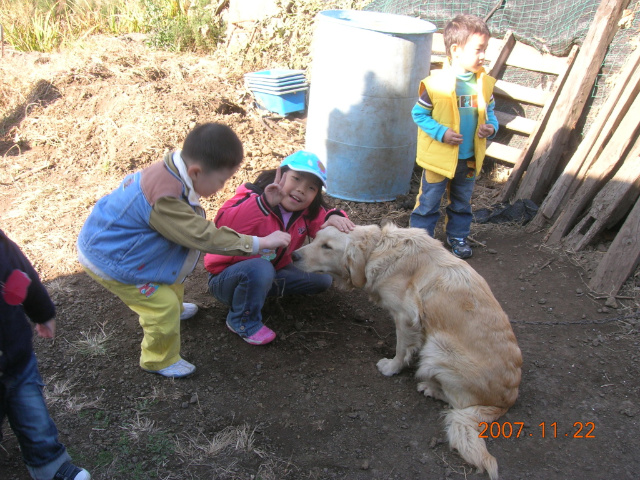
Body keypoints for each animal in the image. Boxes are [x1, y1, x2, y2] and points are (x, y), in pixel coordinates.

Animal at [292, 223, 524, 478]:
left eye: (327, 247)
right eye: (315, 239)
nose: (293, 255)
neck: (378, 249)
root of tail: (507, 401)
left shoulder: (405, 317)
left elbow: (401, 349)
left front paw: (391, 367)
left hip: (437, 349)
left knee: (456, 402)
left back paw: (430, 388)